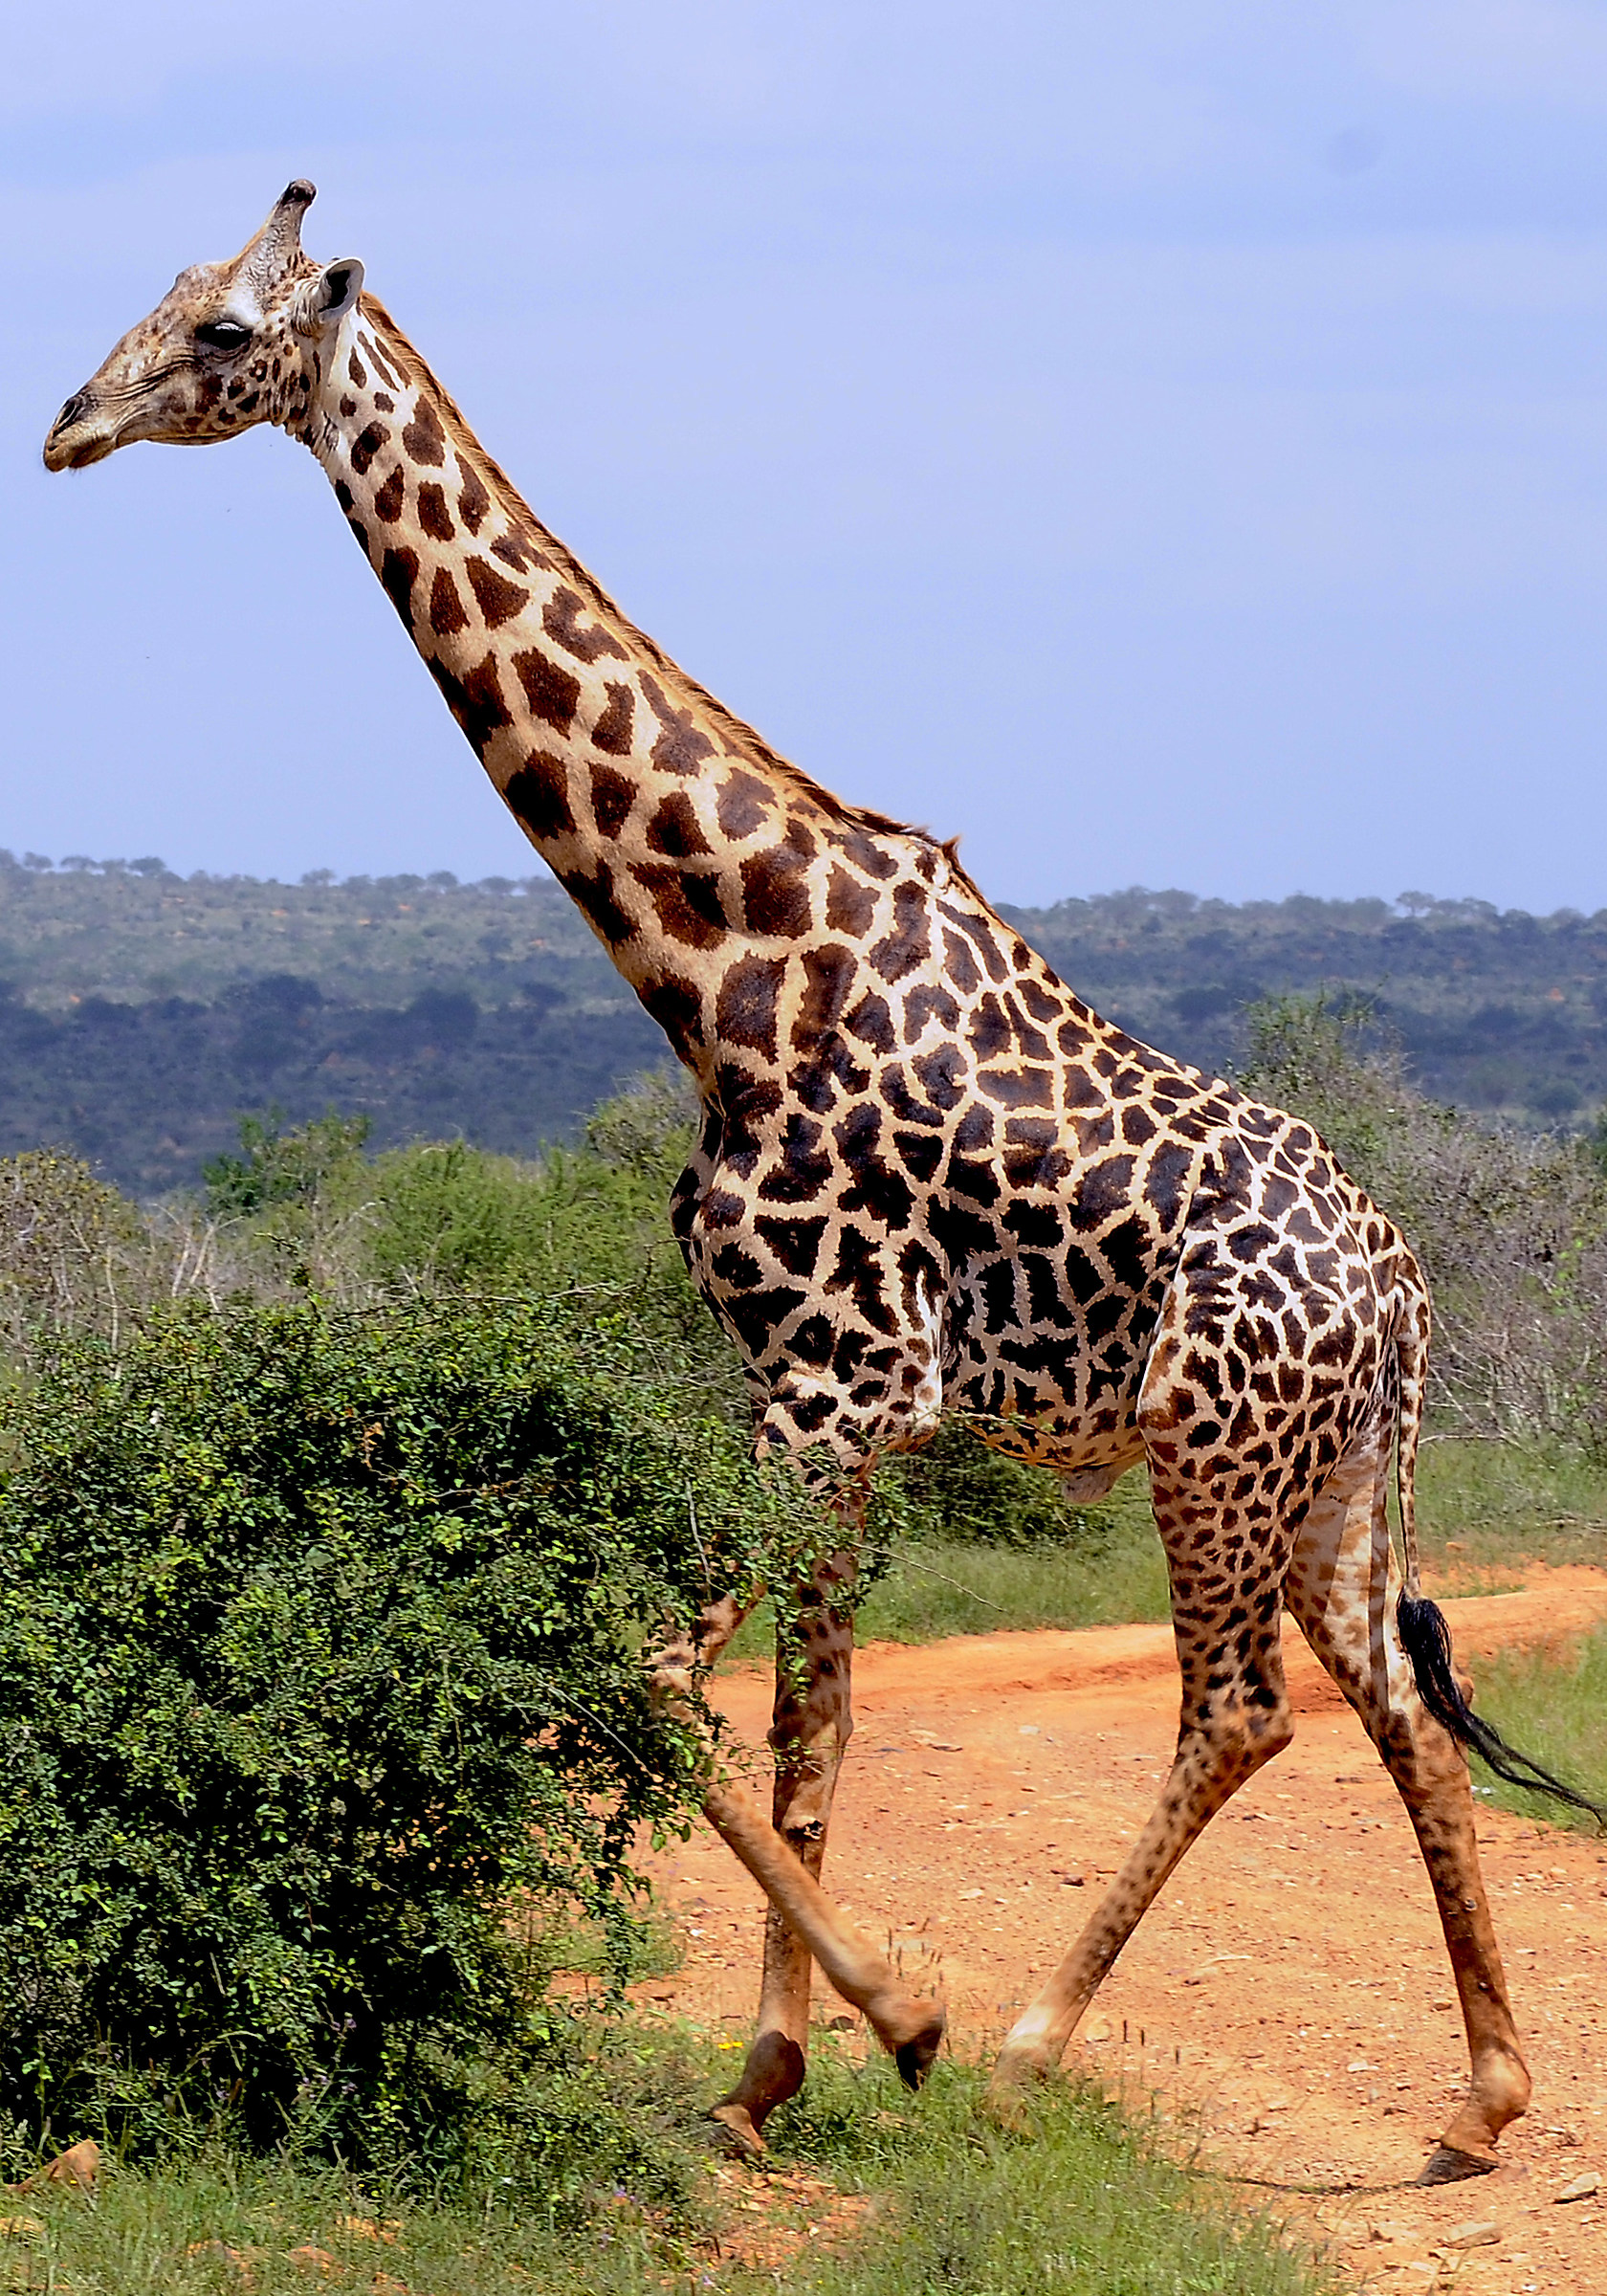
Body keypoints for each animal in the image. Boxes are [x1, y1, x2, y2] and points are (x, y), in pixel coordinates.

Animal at [44, 181, 1601, 2185]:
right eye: (164, 294)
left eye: (226, 331)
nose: (68, 423)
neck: (726, 968)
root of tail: (1404, 1300)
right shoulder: (798, 1389)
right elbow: (774, 1708)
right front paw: (766, 2070)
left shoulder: (838, 1384)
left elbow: (719, 1703)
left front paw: (885, 2026)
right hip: (1329, 1480)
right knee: (1397, 1704)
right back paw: (1484, 2099)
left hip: (1212, 1445)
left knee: (1242, 1710)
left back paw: (1025, 2045)